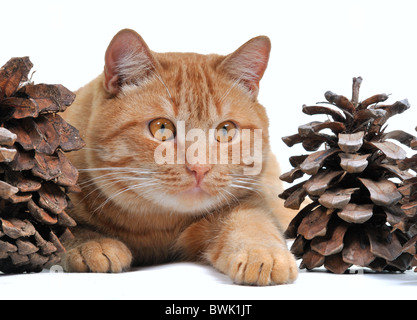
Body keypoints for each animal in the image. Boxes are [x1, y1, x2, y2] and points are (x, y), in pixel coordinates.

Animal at [61, 29, 296, 284]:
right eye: (161, 128)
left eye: (225, 130)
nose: (200, 168)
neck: (156, 228)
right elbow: (66, 229)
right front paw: (92, 244)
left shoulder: (248, 201)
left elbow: (253, 223)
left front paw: (262, 253)